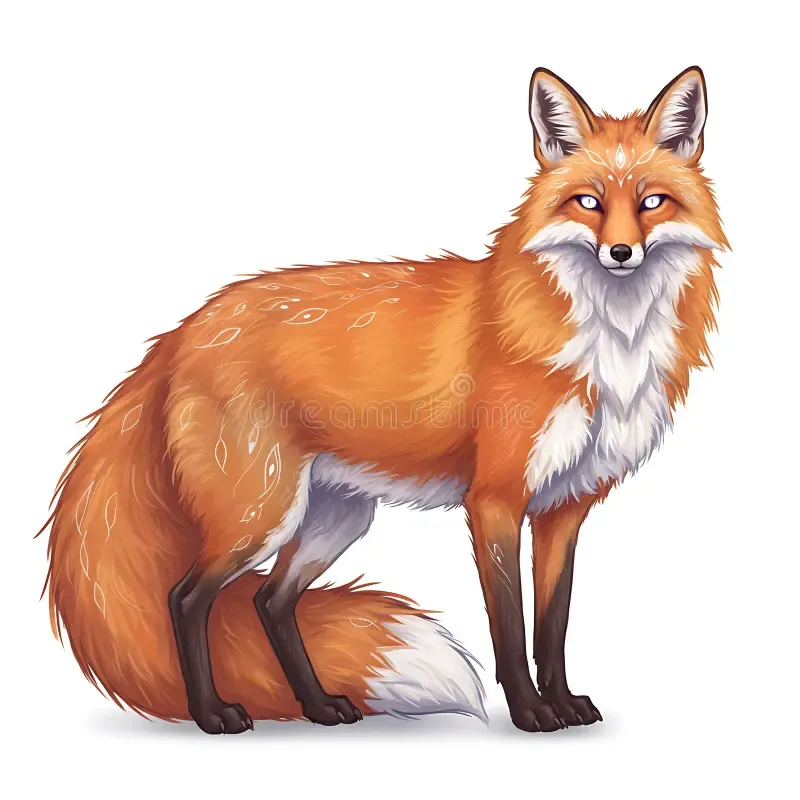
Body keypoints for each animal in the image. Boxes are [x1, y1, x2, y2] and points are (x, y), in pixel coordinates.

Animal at [42, 66, 727, 734]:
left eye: (651, 202)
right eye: (588, 201)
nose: (621, 252)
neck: (611, 344)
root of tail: (184, 329)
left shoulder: (564, 508)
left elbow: (551, 628)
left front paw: (561, 704)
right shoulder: (495, 501)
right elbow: (509, 629)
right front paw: (531, 715)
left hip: (332, 519)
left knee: (271, 601)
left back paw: (319, 707)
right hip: (259, 515)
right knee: (186, 599)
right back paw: (213, 715)